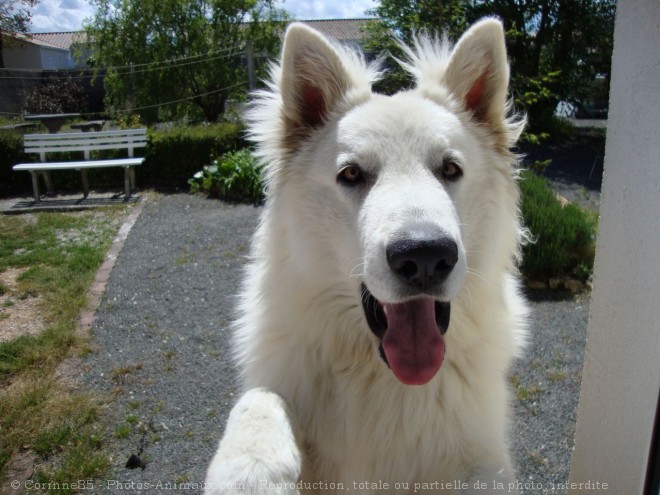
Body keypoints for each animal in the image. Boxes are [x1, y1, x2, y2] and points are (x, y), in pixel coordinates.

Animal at [208, 17, 532, 495]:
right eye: (351, 174)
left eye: (450, 169)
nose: (424, 256)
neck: (379, 375)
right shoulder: (279, 380)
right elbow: (259, 398)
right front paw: (251, 470)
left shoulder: (482, 458)